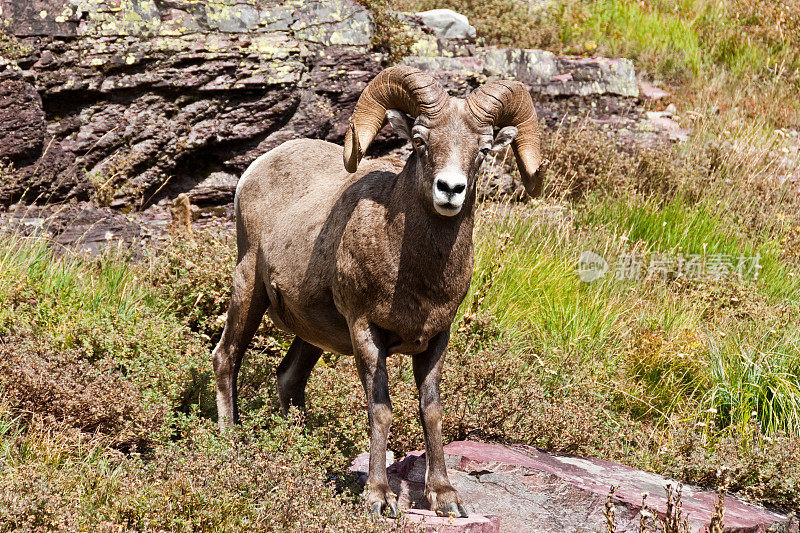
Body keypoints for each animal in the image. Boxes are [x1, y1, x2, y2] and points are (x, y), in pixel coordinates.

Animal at [214, 64, 544, 516]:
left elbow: (431, 411)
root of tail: (256, 169)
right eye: (420, 142)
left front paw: (444, 497)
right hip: (248, 289)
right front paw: (379, 497)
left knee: (289, 379)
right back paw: (229, 444)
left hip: (311, 333)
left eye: (483, 150)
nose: (450, 190)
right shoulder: (366, 333)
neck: (414, 276)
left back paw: (301, 452)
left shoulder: (436, 339)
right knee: (226, 358)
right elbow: (381, 410)